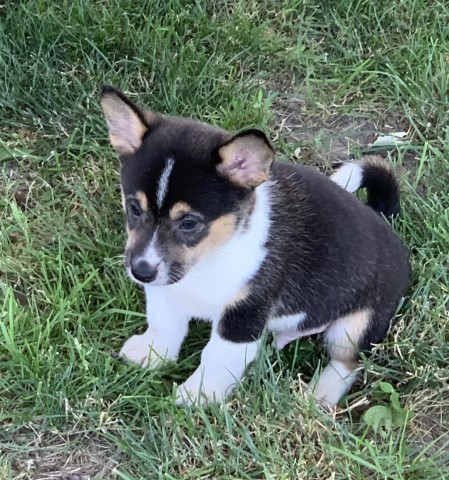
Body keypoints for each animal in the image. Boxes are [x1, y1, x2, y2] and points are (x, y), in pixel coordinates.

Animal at [100, 87, 408, 408]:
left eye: (189, 223)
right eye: (134, 208)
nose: (141, 272)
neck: (213, 255)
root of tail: (383, 220)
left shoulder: (243, 315)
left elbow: (218, 357)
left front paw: (199, 395)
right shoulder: (167, 289)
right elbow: (165, 322)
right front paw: (151, 353)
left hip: (356, 325)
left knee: (348, 361)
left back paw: (320, 394)